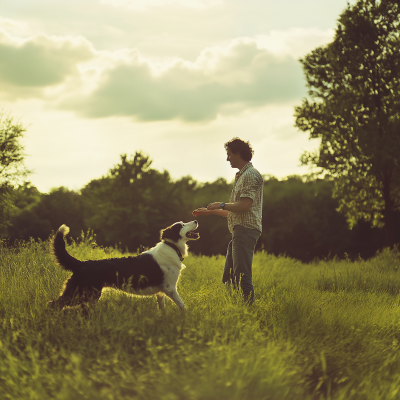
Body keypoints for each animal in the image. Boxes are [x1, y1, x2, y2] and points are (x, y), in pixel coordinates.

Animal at [50, 222, 200, 312]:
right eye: (181, 225)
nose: (195, 220)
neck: (172, 246)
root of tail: (81, 263)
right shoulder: (170, 288)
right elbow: (182, 306)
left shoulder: (161, 291)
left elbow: (162, 308)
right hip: (82, 294)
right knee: (54, 304)